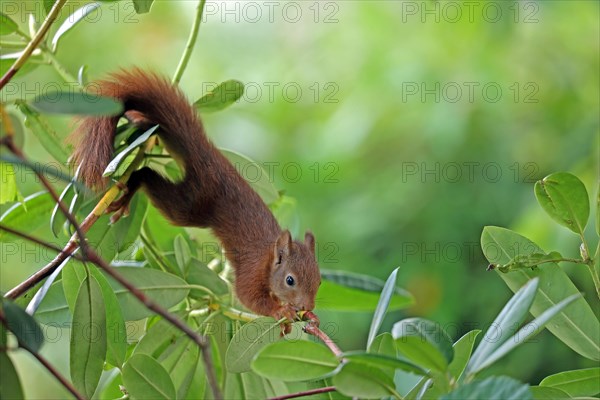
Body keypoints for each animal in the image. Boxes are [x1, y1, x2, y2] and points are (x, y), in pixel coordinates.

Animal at [71, 69, 322, 324]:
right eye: (290, 280)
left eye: (319, 280)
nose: (308, 306)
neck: (269, 258)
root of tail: (206, 155)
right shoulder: (252, 271)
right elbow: (247, 296)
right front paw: (280, 311)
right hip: (190, 203)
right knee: (146, 175)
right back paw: (129, 191)